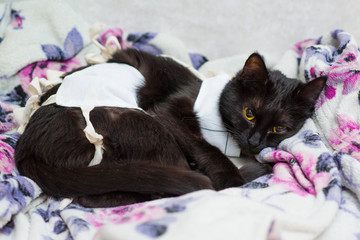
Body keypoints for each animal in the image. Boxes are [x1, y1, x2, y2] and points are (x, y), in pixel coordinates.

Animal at [14, 48, 326, 206]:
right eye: (249, 113)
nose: (255, 141)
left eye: (279, 128)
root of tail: (27, 148)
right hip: (141, 122)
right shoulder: (167, 112)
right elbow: (206, 147)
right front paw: (230, 178)